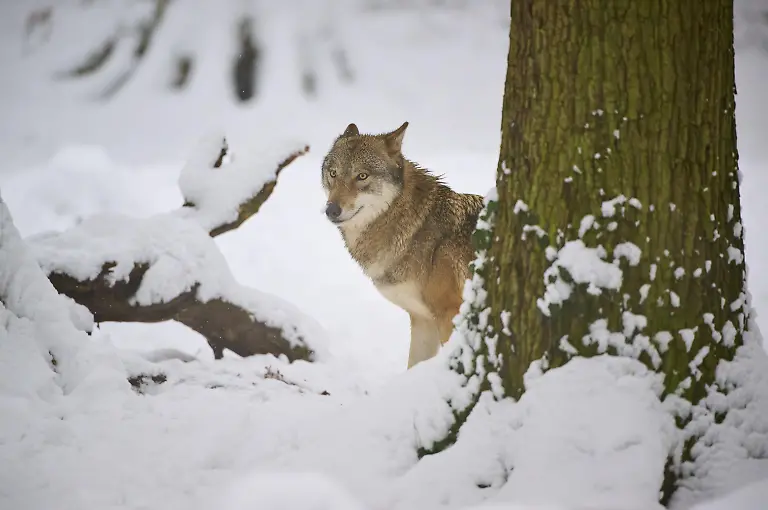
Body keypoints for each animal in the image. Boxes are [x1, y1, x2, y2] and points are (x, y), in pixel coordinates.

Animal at [320, 121, 485, 368]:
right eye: (333, 173)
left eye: (362, 176)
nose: (331, 210)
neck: (418, 228)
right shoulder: (423, 320)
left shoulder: (450, 313)